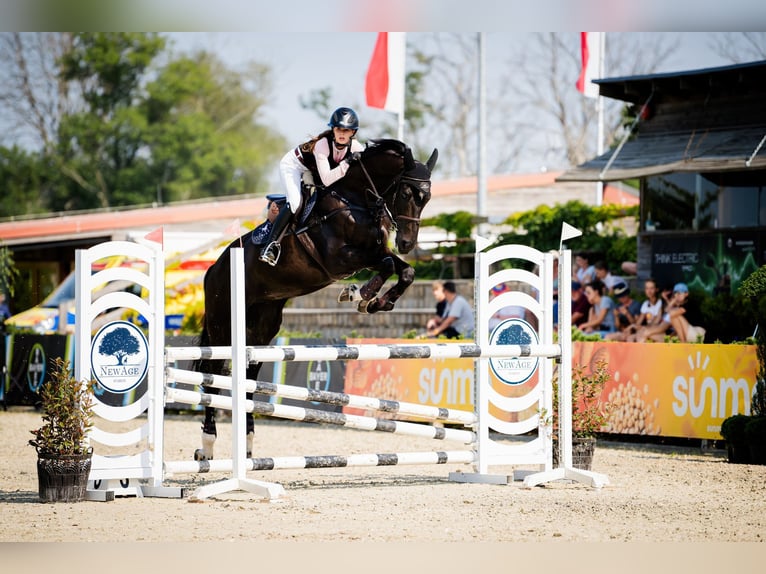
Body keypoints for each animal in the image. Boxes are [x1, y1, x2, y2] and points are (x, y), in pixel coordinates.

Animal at [195, 140, 440, 460]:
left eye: (427, 197)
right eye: (407, 193)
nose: (408, 243)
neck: (354, 201)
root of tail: (214, 267)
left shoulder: (375, 251)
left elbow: (405, 271)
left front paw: (376, 302)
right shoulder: (339, 259)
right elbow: (387, 265)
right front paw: (360, 295)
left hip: (262, 325)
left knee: (249, 375)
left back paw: (248, 445)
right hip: (223, 321)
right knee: (212, 373)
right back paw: (207, 445)